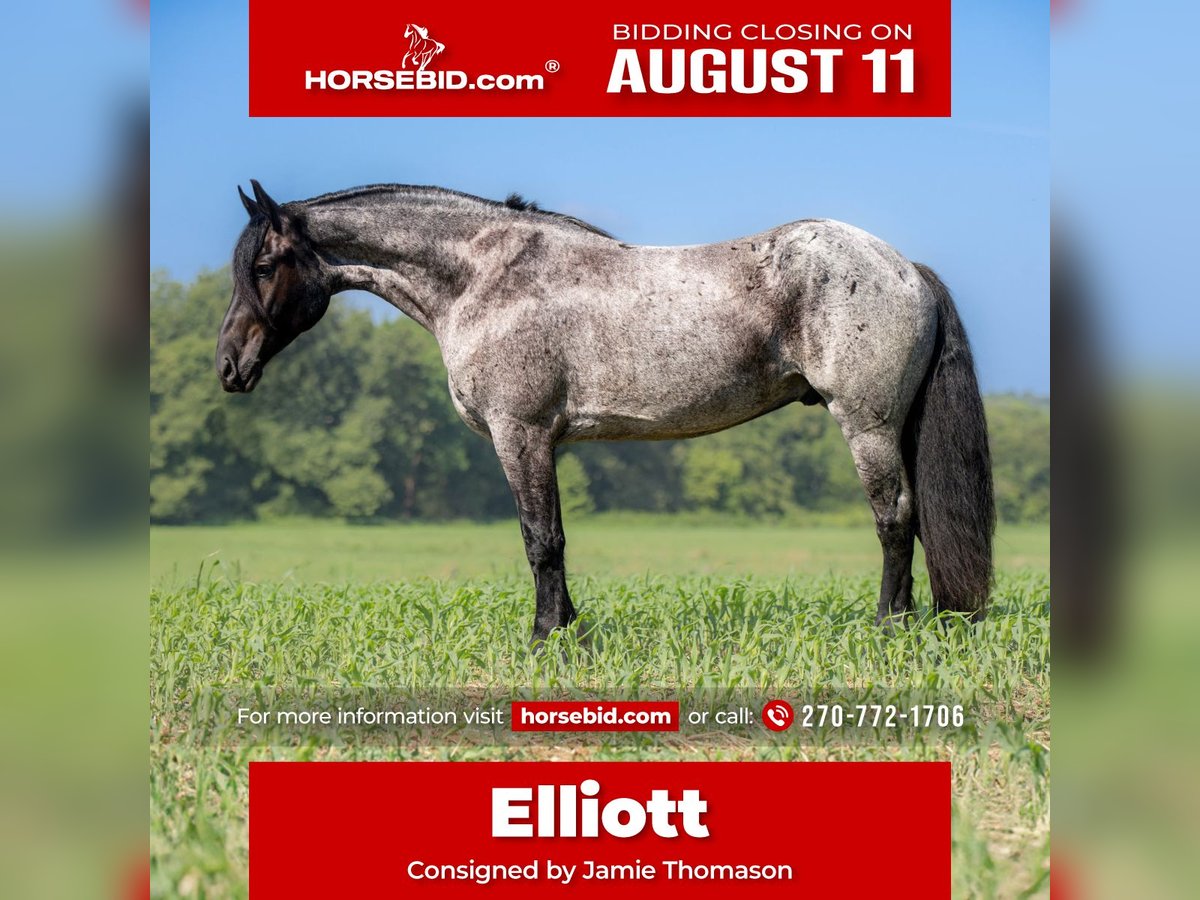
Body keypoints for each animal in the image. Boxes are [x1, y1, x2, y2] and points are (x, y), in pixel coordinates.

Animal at [217, 180, 994, 645]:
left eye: (263, 267)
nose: (228, 366)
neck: (482, 278)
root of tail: (905, 268)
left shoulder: (521, 435)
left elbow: (540, 542)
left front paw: (544, 638)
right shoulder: (545, 443)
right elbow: (555, 538)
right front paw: (569, 629)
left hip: (867, 425)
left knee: (894, 520)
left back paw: (888, 627)